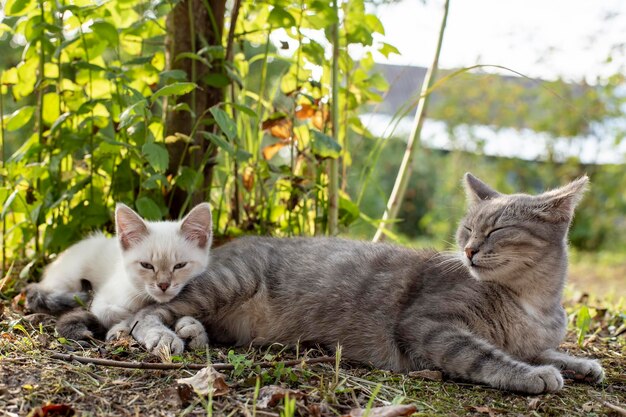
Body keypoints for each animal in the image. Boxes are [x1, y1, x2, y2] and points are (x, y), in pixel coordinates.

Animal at [129, 173, 604, 394]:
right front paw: (534, 375)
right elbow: (486, 356)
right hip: (228, 282)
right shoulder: (428, 326)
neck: (534, 302)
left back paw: (192, 331)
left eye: (498, 229)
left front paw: (579, 363)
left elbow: (544, 349)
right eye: (468, 230)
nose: (469, 251)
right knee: (142, 314)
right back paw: (164, 336)